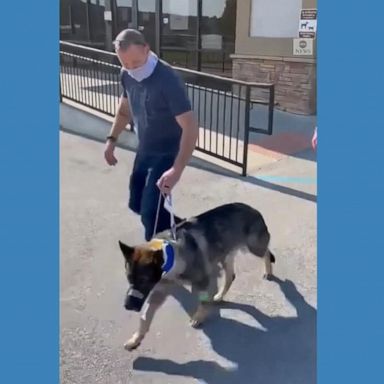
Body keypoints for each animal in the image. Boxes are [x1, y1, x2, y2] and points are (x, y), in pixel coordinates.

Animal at [118, 202, 274, 350]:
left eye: (143, 280)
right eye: (129, 279)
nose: (127, 306)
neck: (172, 255)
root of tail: (252, 209)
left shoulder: (202, 281)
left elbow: (203, 301)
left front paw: (198, 317)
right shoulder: (159, 291)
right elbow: (145, 317)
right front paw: (136, 339)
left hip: (254, 247)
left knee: (266, 252)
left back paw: (268, 270)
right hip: (225, 255)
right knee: (231, 276)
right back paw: (219, 295)